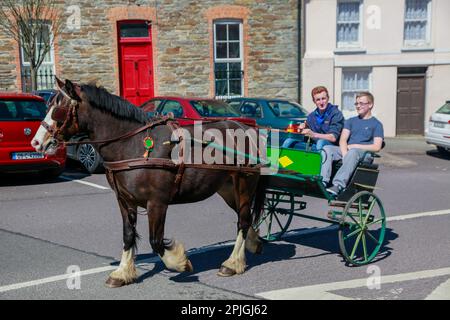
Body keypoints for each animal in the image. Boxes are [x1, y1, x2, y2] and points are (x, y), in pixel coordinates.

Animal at [32, 78, 264, 288]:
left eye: (58, 110)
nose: (36, 142)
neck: (132, 144)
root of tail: (246, 128)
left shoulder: (157, 203)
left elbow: (156, 241)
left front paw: (180, 262)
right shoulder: (125, 200)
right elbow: (128, 235)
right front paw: (122, 273)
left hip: (244, 185)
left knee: (243, 221)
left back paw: (232, 263)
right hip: (227, 189)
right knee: (243, 217)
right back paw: (253, 244)